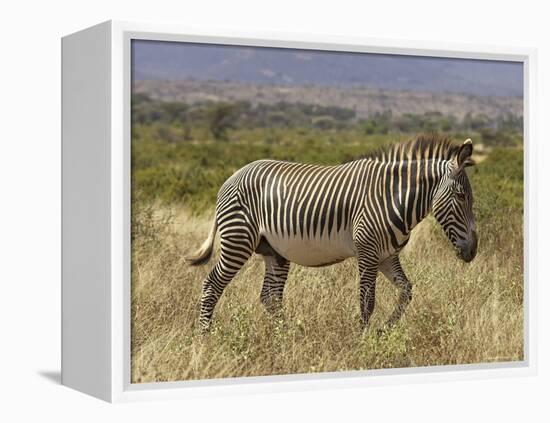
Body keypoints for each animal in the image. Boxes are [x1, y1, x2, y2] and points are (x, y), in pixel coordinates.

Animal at [187, 135, 478, 332]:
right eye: (461, 197)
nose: (473, 251)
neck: (392, 197)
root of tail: (232, 177)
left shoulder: (386, 255)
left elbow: (407, 290)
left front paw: (385, 329)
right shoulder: (368, 252)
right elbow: (367, 301)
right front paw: (363, 341)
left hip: (274, 250)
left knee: (270, 297)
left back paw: (285, 337)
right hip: (238, 239)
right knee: (212, 285)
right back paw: (205, 336)